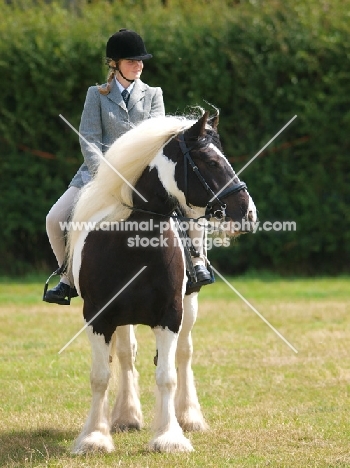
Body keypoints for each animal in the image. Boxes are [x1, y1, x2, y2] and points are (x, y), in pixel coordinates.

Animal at [67, 110, 256, 454]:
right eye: (211, 161)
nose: (248, 213)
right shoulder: (98, 317)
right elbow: (101, 375)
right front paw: (94, 437)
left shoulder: (170, 315)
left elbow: (167, 374)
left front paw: (169, 436)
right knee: (126, 355)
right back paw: (126, 415)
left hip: (189, 306)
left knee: (184, 353)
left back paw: (189, 416)